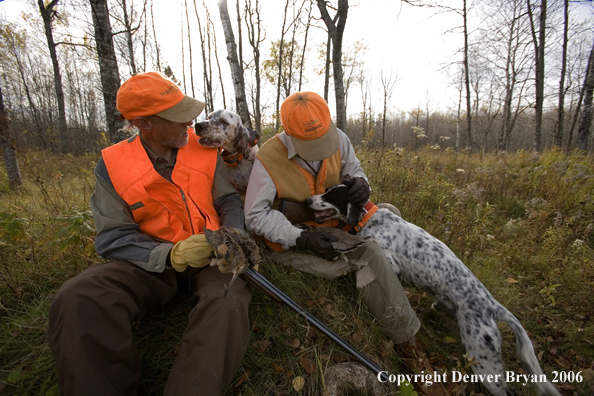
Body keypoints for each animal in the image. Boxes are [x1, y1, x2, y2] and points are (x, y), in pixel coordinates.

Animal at [306, 182, 560, 396]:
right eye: (326, 190)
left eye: (331, 196)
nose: (308, 199)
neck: (370, 217)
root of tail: (492, 305)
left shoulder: (388, 260)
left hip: (483, 358)